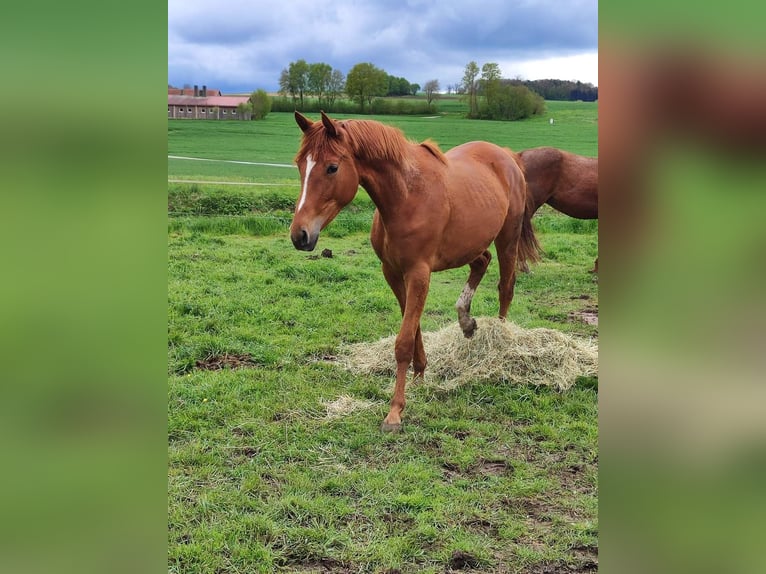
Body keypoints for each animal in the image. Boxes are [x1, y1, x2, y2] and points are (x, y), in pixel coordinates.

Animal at [292, 112, 544, 432]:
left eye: (332, 167)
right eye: (300, 164)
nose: (299, 235)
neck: (406, 197)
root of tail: (507, 156)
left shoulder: (419, 274)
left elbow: (403, 341)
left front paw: (395, 411)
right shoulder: (393, 273)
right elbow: (413, 329)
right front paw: (420, 376)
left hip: (507, 239)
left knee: (506, 288)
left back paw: (497, 347)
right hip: (470, 244)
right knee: (481, 263)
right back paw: (466, 322)